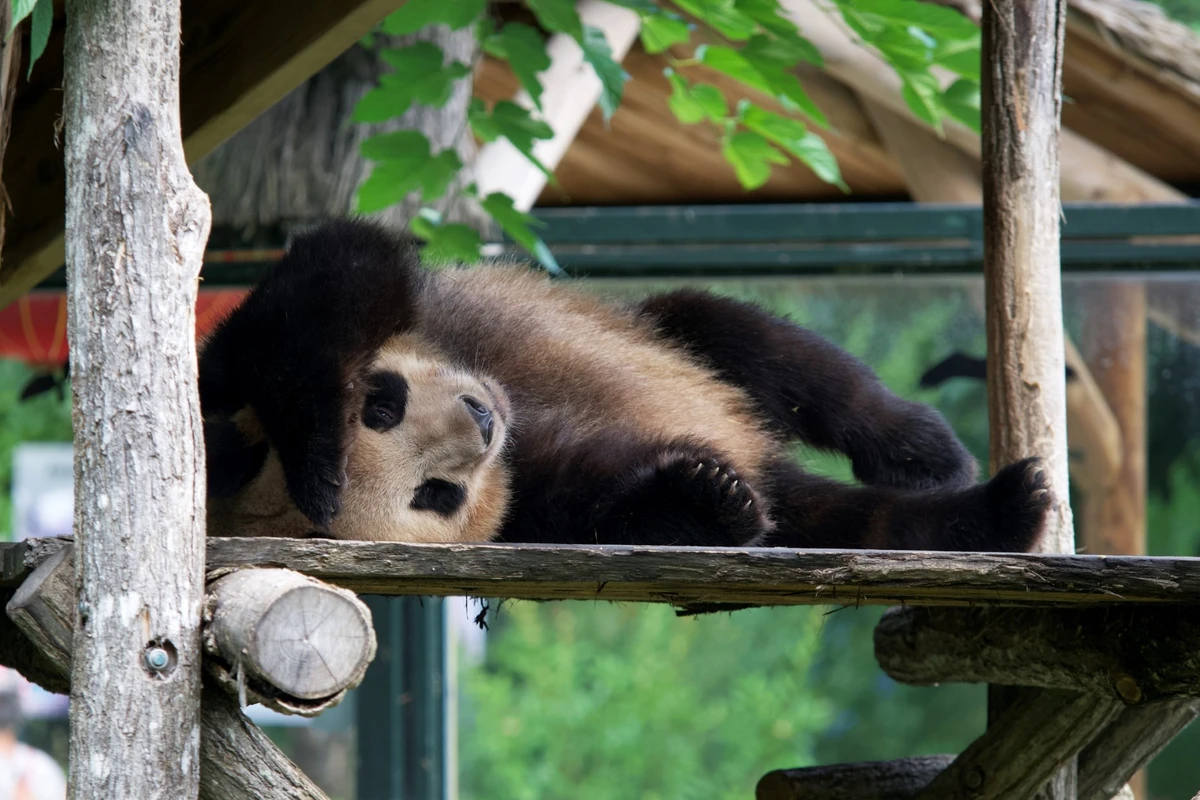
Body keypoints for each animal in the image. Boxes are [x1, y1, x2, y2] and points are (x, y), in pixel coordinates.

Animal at [199, 219, 1051, 552]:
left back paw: (926, 451)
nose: (481, 422)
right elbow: (608, 505)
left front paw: (315, 454)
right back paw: (999, 511)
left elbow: (338, 274)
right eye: (434, 495)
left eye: (383, 403)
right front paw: (708, 498)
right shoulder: (532, 503)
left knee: (759, 346)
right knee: (851, 521)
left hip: (673, 338)